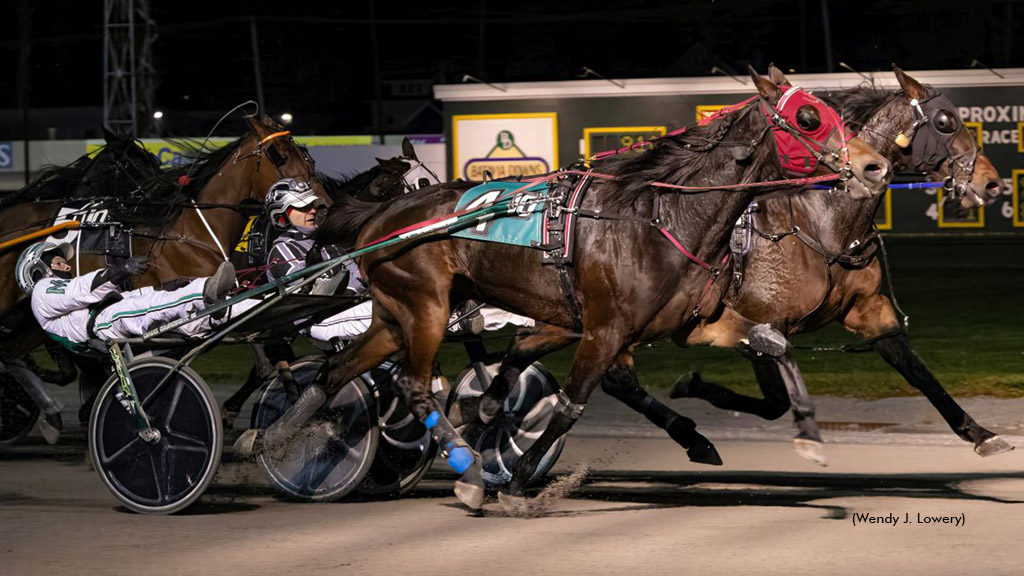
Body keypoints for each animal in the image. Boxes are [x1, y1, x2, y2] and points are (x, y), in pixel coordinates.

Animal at [270, 68, 888, 506]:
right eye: (808, 118)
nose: (875, 165)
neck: (660, 218)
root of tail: (381, 217)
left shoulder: (690, 323)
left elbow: (774, 341)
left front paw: (808, 433)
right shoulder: (605, 329)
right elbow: (570, 403)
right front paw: (517, 477)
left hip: (393, 315)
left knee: (337, 370)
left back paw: (279, 439)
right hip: (426, 306)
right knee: (411, 384)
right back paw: (467, 470)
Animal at [667, 63, 1011, 453]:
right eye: (944, 121)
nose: (992, 184)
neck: (822, 226)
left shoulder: (870, 308)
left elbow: (916, 369)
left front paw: (979, 432)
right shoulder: (763, 323)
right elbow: (775, 402)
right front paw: (690, 384)